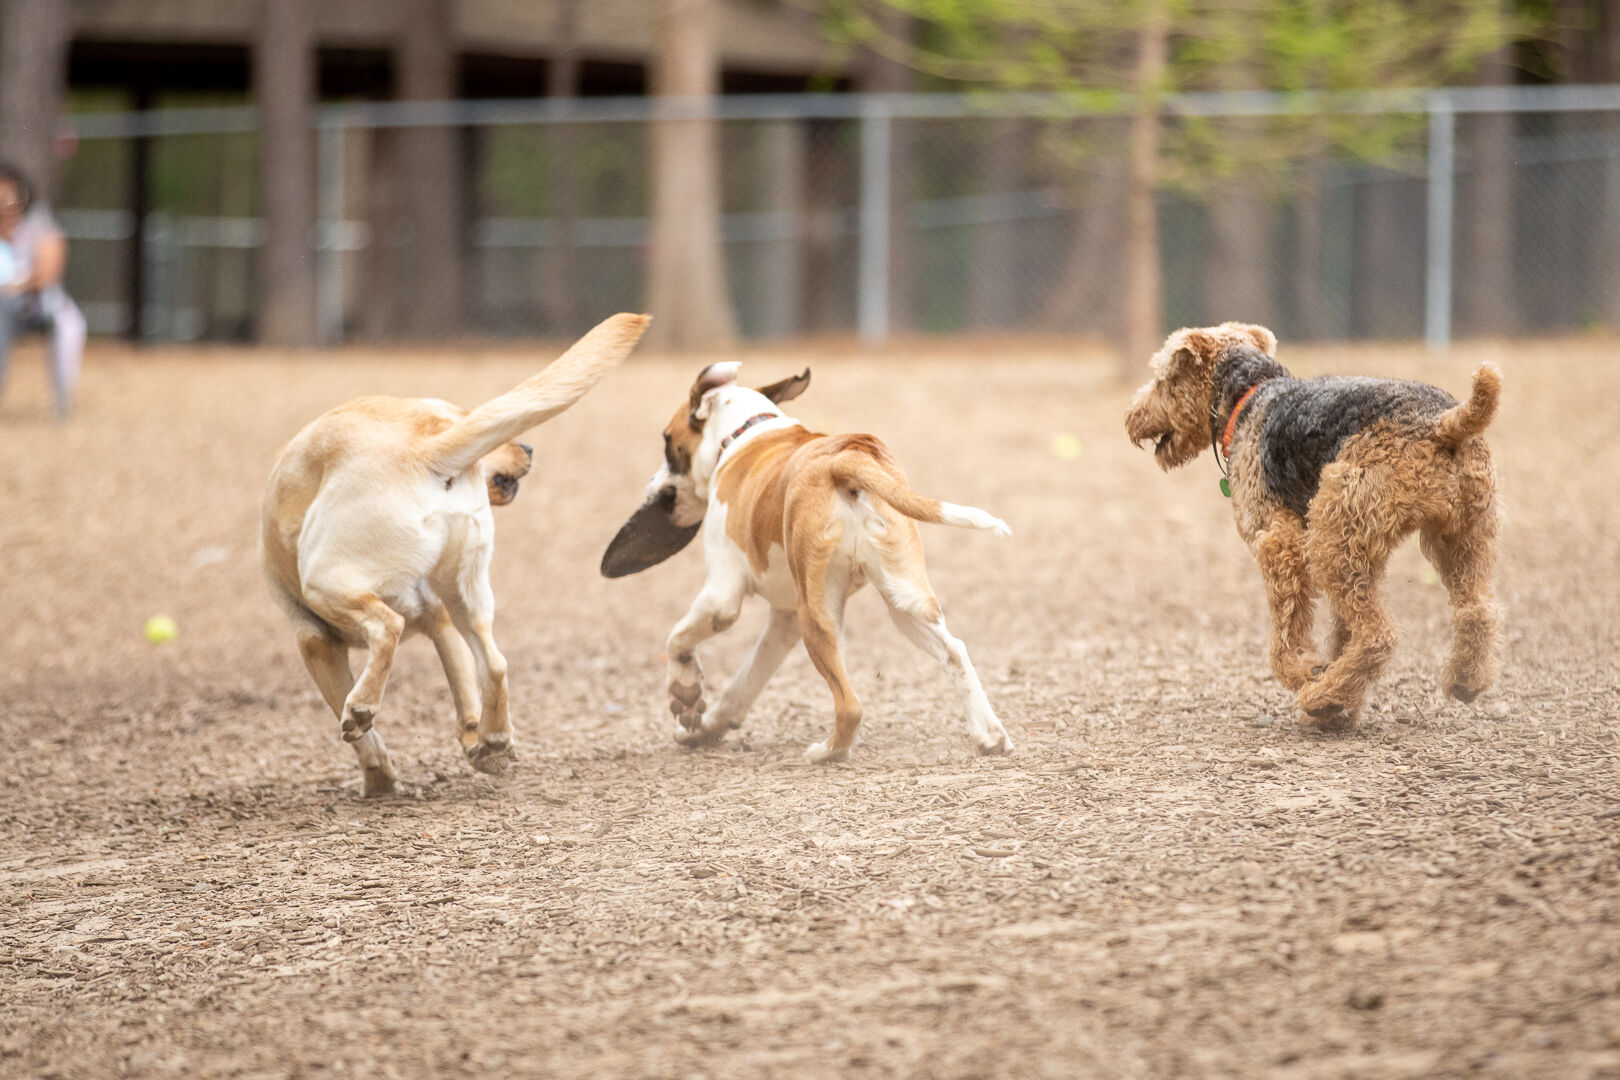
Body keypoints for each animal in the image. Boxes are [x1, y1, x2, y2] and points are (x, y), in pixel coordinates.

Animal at [259, 312, 644, 793]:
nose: (529, 447)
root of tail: (422, 451)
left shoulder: (314, 641)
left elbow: (366, 739)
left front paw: (378, 779)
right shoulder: (442, 622)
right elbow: (467, 691)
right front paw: (482, 744)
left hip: (324, 581)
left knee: (387, 628)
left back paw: (363, 706)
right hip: (466, 597)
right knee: (494, 663)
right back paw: (496, 740)